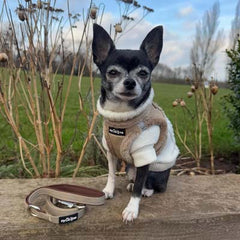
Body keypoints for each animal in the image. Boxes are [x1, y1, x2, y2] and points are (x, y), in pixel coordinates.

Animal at [93, 23, 179, 222]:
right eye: (113, 72)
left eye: (143, 73)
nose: (130, 82)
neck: (121, 115)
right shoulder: (110, 152)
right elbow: (111, 174)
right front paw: (109, 190)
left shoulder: (144, 155)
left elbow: (140, 185)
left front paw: (132, 208)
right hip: (131, 168)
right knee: (134, 177)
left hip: (155, 170)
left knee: (152, 184)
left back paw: (147, 190)